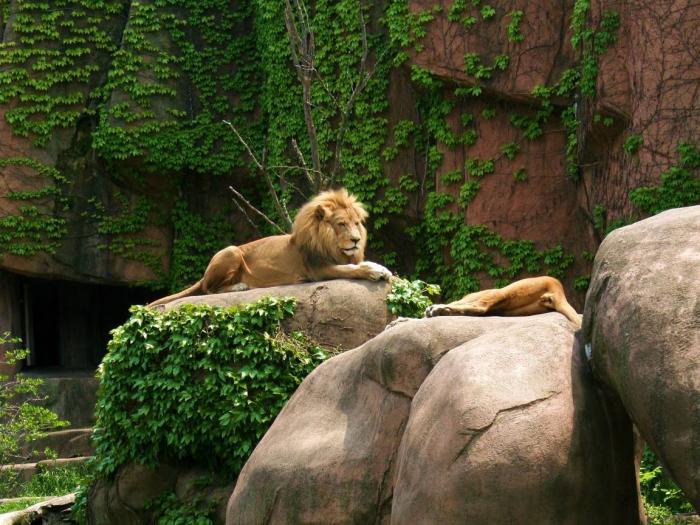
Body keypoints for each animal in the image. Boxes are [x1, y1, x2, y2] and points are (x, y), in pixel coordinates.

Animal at [147, 187, 392, 308]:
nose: (356, 240)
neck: (331, 245)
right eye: (341, 224)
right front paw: (376, 271)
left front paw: (380, 268)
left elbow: (355, 264)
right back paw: (239, 287)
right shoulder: (318, 270)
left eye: (357, 223)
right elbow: (352, 269)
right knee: (208, 289)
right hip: (232, 250)